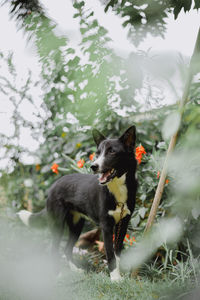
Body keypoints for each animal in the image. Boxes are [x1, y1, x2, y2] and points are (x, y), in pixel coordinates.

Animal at [18, 126, 138, 282]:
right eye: (97, 153)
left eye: (112, 151)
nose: (93, 166)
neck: (116, 188)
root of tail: (53, 186)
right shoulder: (106, 226)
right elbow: (110, 254)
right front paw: (115, 278)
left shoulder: (123, 224)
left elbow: (117, 252)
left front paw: (118, 275)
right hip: (58, 224)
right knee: (54, 249)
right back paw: (57, 275)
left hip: (76, 225)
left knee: (66, 249)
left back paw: (75, 270)